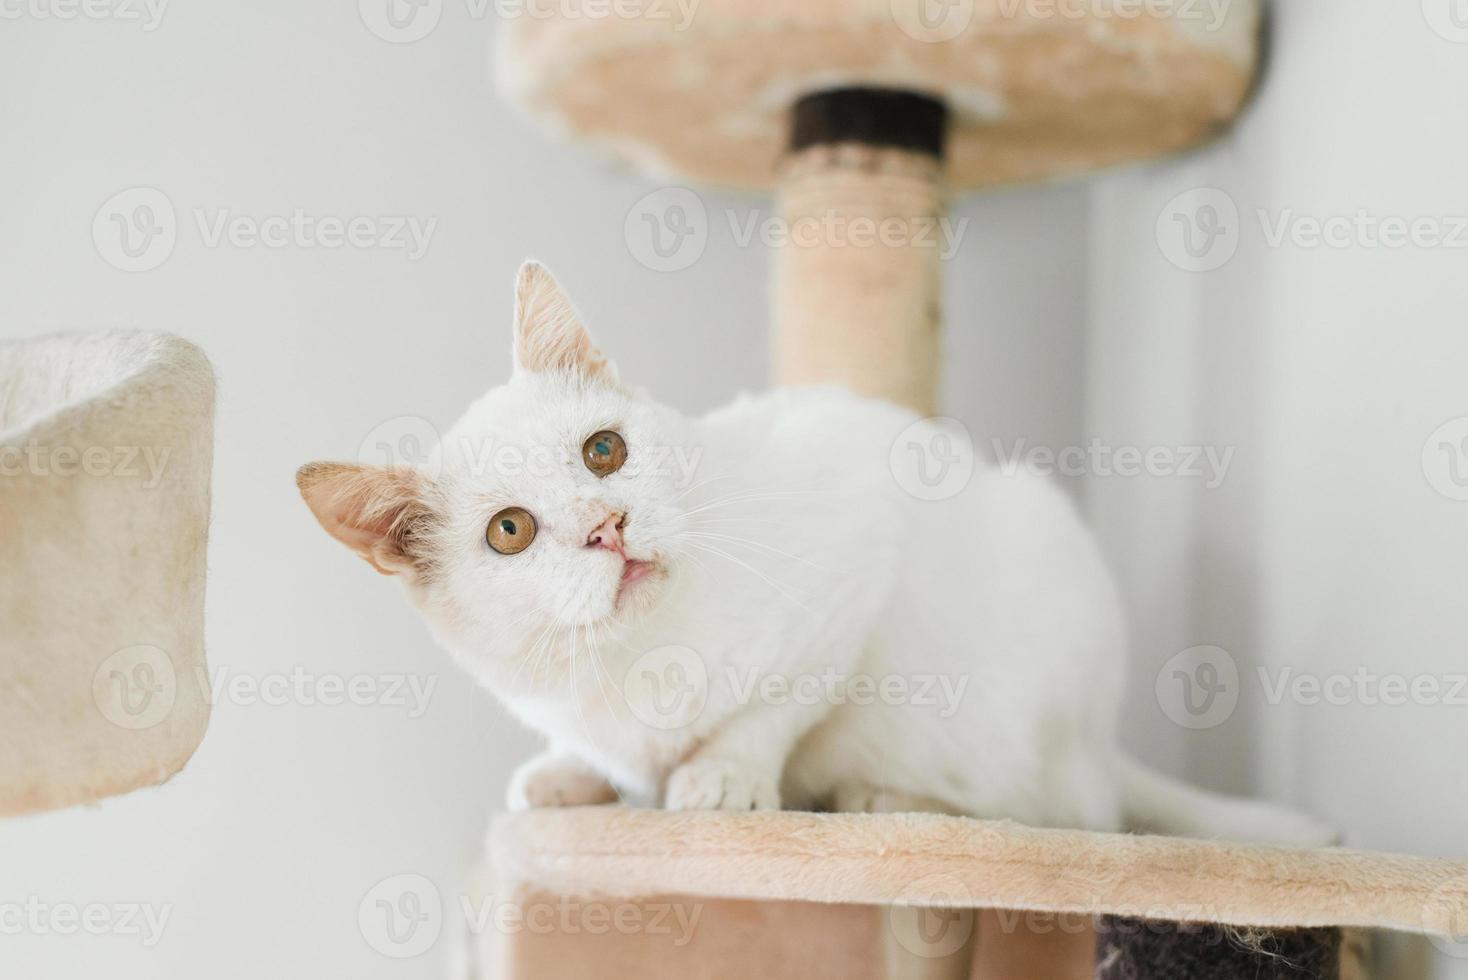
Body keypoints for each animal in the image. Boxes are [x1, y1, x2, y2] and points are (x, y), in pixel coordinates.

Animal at [303, 262, 1338, 850]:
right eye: (510, 531)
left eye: (603, 450)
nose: (607, 525)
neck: (633, 662)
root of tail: (1105, 738)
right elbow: (595, 747)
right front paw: (569, 774)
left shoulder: (857, 562)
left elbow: (779, 704)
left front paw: (723, 776)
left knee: (1067, 813)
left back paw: (883, 799)